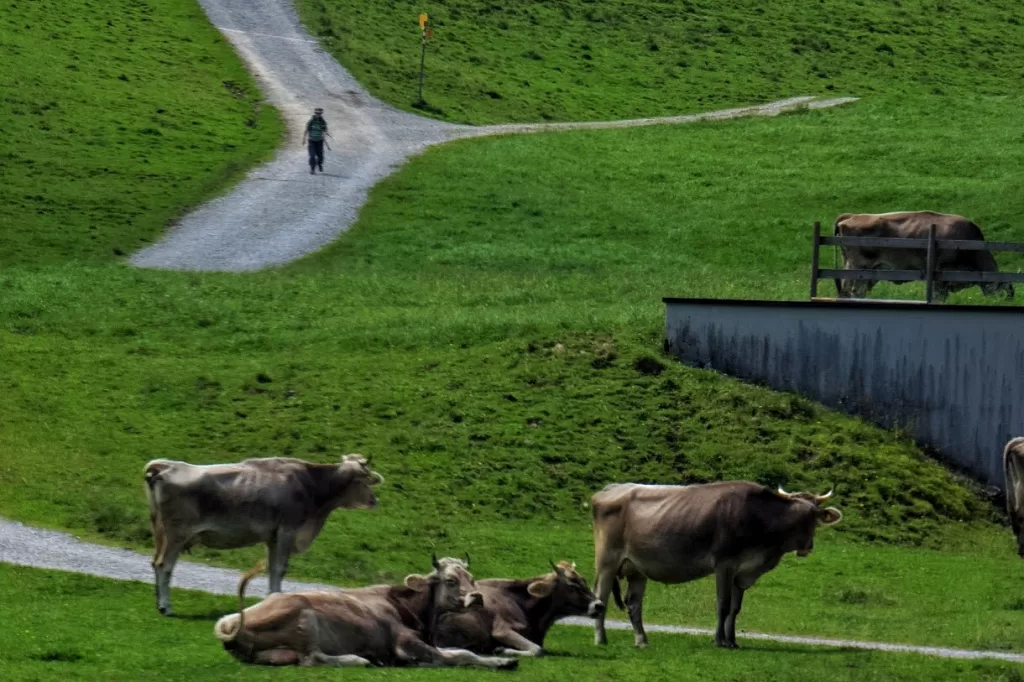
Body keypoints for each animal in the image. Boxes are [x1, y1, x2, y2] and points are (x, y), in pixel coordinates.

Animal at [144, 454, 385, 614]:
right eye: (362, 479)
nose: (375, 500)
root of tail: (165, 466)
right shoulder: (288, 529)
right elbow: (280, 569)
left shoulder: (272, 536)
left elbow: (271, 569)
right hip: (177, 533)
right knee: (165, 566)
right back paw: (166, 606)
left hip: (160, 531)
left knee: (155, 563)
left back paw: (157, 602)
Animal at [215, 552, 520, 667]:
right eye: (450, 580)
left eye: (472, 578)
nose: (477, 597)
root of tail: (233, 624)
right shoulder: (406, 643)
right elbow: (458, 657)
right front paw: (500, 662)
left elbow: (462, 652)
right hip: (306, 619)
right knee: (312, 658)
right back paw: (358, 659)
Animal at [434, 557, 606, 655]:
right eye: (573, 585)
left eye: (584, 581)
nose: (599, 605)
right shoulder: (501, 631)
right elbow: (537, 650)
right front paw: (503, 650)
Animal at [593, 477, 839, 647]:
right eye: (801, 518)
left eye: (816, 517)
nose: (807, 547)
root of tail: (610, 488)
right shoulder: (724, 564)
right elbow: (723, 604)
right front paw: (719, 641)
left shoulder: (742, 572)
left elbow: (735, 608)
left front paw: (732, 641)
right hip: (607, 561)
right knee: (600, 597)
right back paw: (601, 639)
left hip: (637, 568)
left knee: (634, 604)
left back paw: (642, 640)